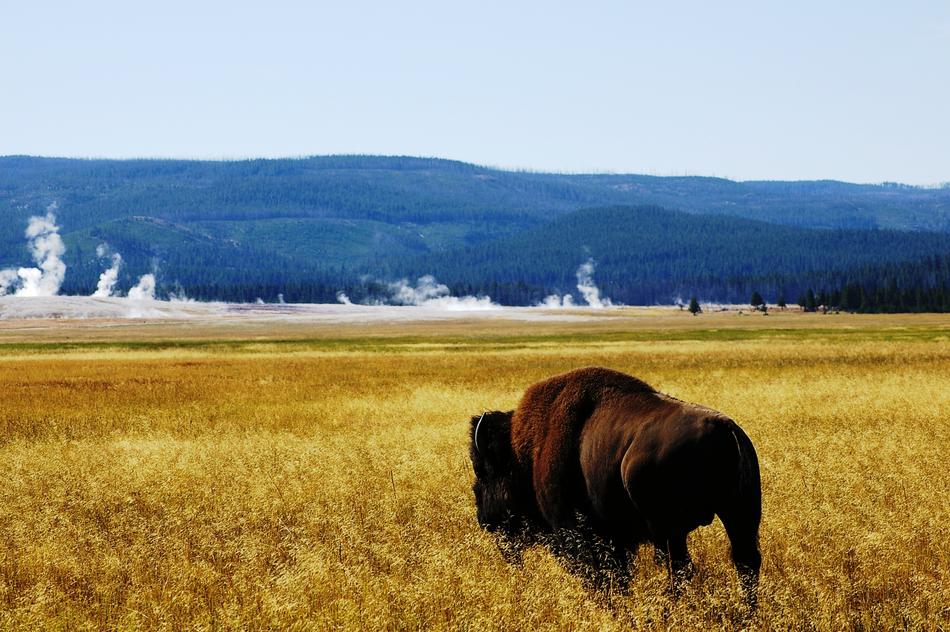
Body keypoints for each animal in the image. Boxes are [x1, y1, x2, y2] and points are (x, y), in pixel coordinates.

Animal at [469, 367, 761, 606]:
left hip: (670, 530)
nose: (483, 520)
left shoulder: (576, 533)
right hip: (740, 516)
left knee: (681, 569)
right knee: (746, 562)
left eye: (482, 472)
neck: (525, 453)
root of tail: (726, 430)